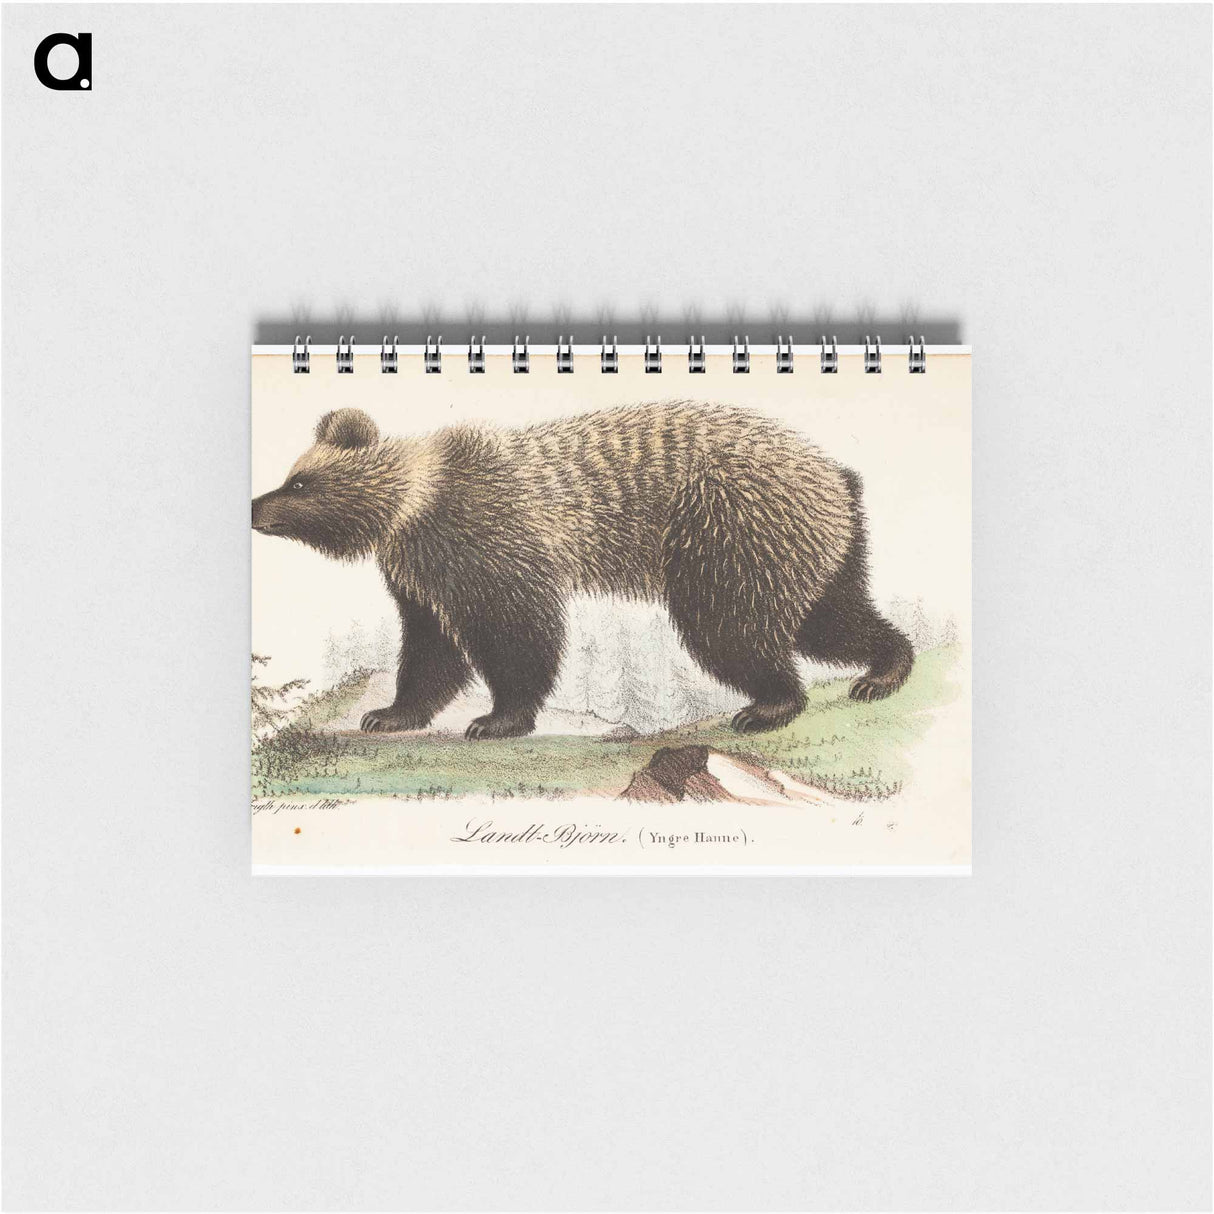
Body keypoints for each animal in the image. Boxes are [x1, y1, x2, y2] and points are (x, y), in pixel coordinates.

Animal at [251, 402, 913, 740]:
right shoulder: (426, 574)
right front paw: (389, 712)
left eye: (300, 481)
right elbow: (431, 646)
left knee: (731, 629)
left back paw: (768, 705)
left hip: (728, 529)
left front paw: (497, 718)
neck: (414, 508)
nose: (256, 506)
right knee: (829, 617)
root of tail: (835, 474)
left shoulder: (488, 539)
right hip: (806, 548)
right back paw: (883, 668)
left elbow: (518, 631)